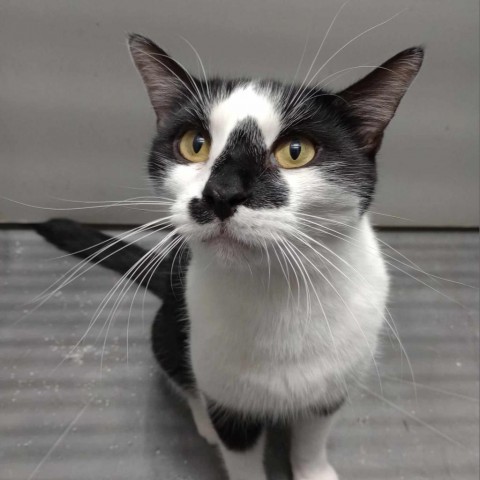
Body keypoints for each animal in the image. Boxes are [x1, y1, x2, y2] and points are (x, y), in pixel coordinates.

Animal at [35, 33, 422, 480]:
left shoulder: (331, 390)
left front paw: (314, 470)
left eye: (296, 151)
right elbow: (238, 450)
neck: (276, 295)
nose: (221, 194)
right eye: (194, 144)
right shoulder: (230, 404)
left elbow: (311, 439)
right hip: (169, 330)